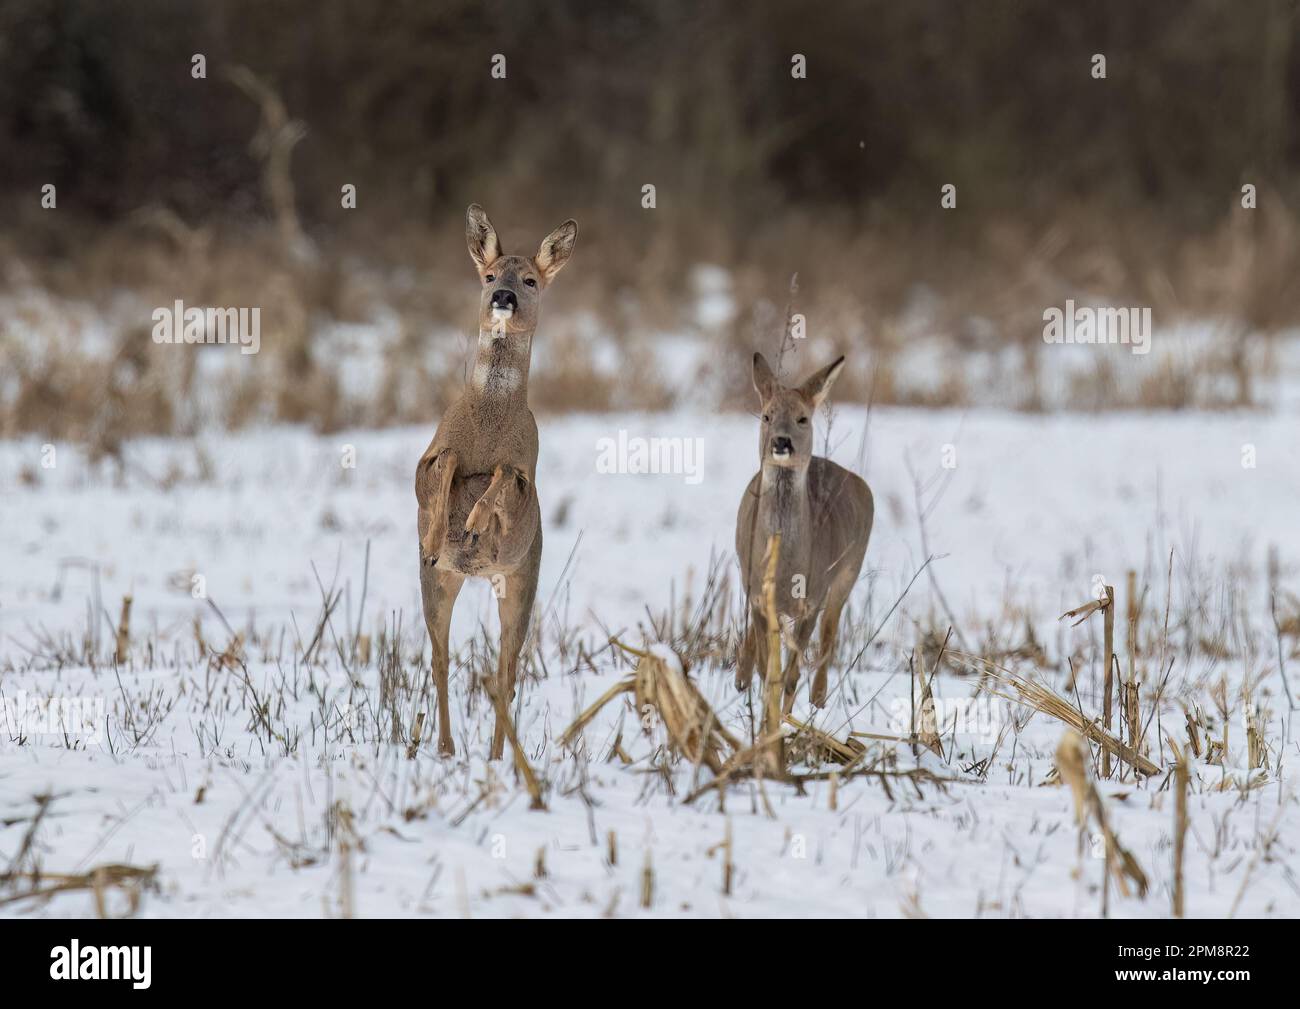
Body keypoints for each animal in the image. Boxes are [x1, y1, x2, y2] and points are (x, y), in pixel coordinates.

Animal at [416, 202, 579, 759]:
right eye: (488, 275)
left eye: (529, 279)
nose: (503, 296)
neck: (487, 422)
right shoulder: (426, 459)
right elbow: (444, 464)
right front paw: (439, 533)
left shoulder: (526, 479)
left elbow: (506, 475)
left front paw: (475, 520)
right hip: (438, 582)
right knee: (440, 659)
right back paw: (446, 747)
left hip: (522, 579)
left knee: (507, 671)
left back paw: (495, 756)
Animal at [733, 351, 873, 712]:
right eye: (767, 415)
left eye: (802, 419)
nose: (781, 442)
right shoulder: (758, 597)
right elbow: (769, 671)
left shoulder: (813, 597)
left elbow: (791, 675)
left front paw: (784, 720)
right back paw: (740, 677)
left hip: (849, 572)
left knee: (830, 633)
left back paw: (819, 698)